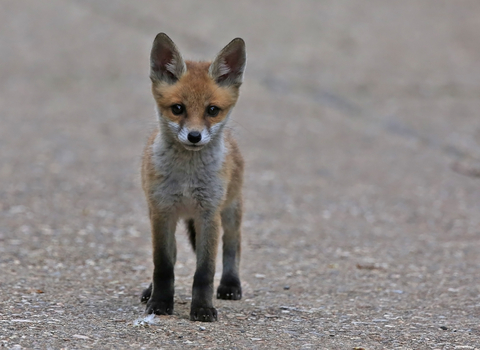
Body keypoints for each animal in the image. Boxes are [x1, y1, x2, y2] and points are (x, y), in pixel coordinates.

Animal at [138, 33, 244, 322]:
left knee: (233, 248)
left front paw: (203, 308)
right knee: (172, 255)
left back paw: (230, 284)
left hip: (230, 212)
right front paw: (160, 302)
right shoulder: (162, 211)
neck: (187, 179)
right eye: (177, 108)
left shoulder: (209, 214)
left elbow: (205, 271)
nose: (194, 137)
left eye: (212, 110)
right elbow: (163, 265)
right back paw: (150, 290)